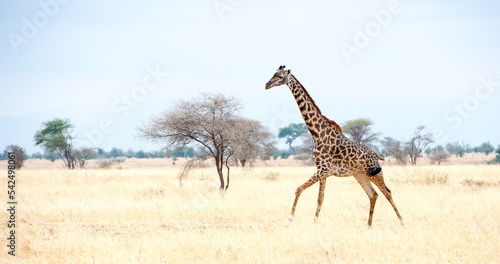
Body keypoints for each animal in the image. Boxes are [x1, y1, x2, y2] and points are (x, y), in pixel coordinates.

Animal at [266, 66, 402, 227]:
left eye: (280, 77)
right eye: (273, 74)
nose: (267, 85)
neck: (317, 133)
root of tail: (375, 154)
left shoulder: (323, 169)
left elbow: (299, 189)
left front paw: (289, 221)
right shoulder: (322, 171)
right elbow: (320, 198)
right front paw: (314, 224)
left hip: (374, 172)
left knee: (387, 192)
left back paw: (403, 223)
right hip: (360, 174)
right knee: (373, 194)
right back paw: (368, 226)